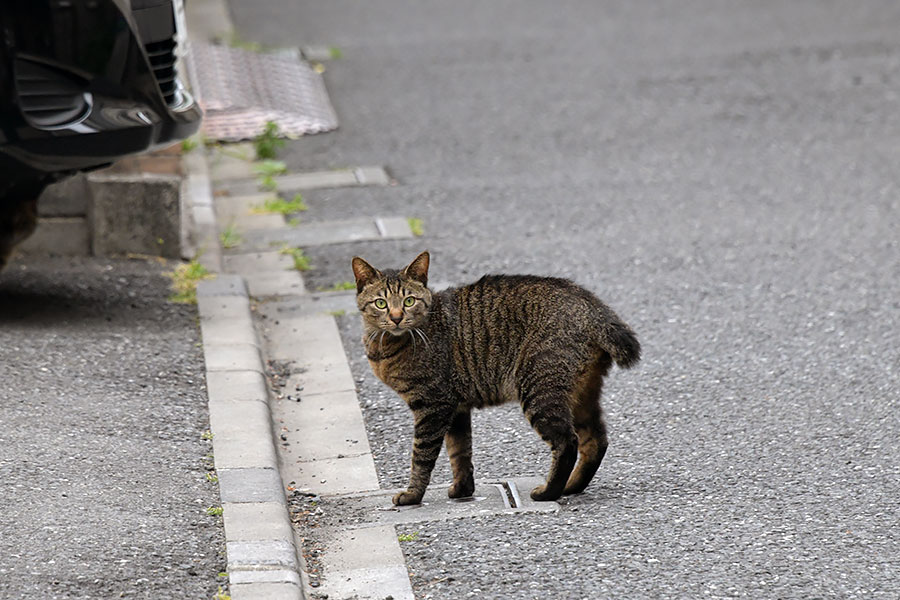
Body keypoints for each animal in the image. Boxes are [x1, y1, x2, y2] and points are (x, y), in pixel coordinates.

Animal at [352, 251, 640, 504]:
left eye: (409, 301)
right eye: (381, 303)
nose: (396, 317)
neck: (384, 344)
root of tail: (592, 305)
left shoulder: (433, 406)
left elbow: (421, 457)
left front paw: (413, 495)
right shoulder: (456, 408)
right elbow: (460, 453)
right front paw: (462, 490)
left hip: (539, 391)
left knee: (567, 442)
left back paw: (549, 492)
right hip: (580, 394)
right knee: (596, 441)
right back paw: (572, 486)